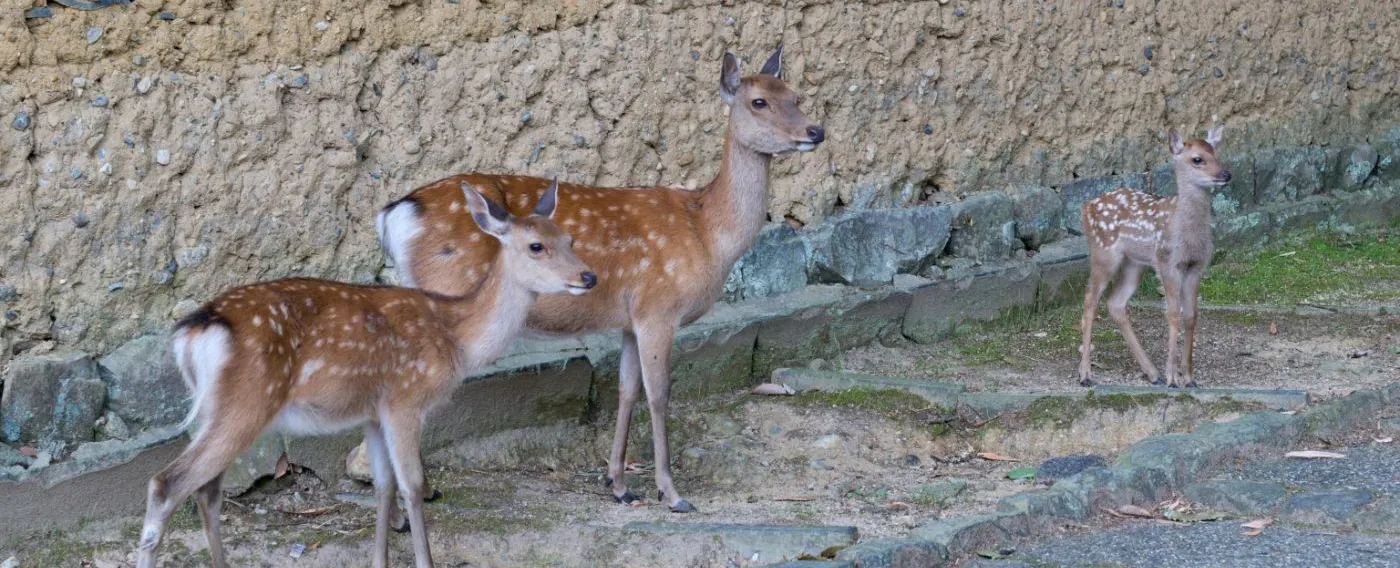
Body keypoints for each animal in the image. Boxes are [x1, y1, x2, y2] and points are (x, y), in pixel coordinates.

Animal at [136, 179, 595, 568]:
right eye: (536, 245)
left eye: (570, 239)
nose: (588, 276)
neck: (456, 337)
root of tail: (193, 332)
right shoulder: (405, 399)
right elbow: (411, 486)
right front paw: (424, 560)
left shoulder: (372, 412)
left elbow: (382, 486)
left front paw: (380, 560)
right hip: (248, 402)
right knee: (166, 483)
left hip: (216, 409)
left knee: (207, 491)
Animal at [375, 45, 824, 513]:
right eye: (759, 102)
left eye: (795, 95)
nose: (816, 130)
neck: (707, 234)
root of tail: (394, 215)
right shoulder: (659, 307)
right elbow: (659, 394)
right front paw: (671, 492)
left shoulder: (629, 319)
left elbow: (626, 389)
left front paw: (619, 483)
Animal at [1077, 126, 1231, 389]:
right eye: (1197, 159)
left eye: (1216, 153)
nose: (1226, 174)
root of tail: (1086, 207)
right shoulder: (1167, 261)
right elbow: (1173, 315)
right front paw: (1173, 377)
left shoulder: (1196, 266)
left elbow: (1191, 316)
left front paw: (1189, 378)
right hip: (1103, 252)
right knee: (1090, 301)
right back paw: (1085, 374)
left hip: (1134, 263)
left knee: (1115, 303)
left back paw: (1152, 373)